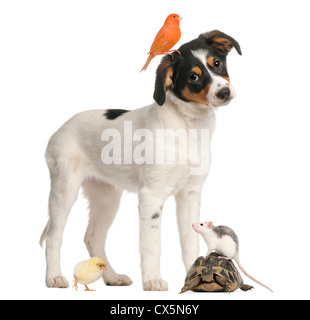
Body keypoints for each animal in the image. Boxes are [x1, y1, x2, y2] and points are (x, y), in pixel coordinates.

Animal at [39, 30, 260, 292]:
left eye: (217, 63)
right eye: (193, 76)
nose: (224, 93)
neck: (188, 126)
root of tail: (61, 128)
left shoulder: (190, 194)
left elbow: (191, 241)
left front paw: (195, 274)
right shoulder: (151, 195)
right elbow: (151, 244)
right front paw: (153, 280)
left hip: (106, 197)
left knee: (93, 237)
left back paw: (112, 276)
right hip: (65, 188)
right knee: (54, 235)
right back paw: (54, 277)